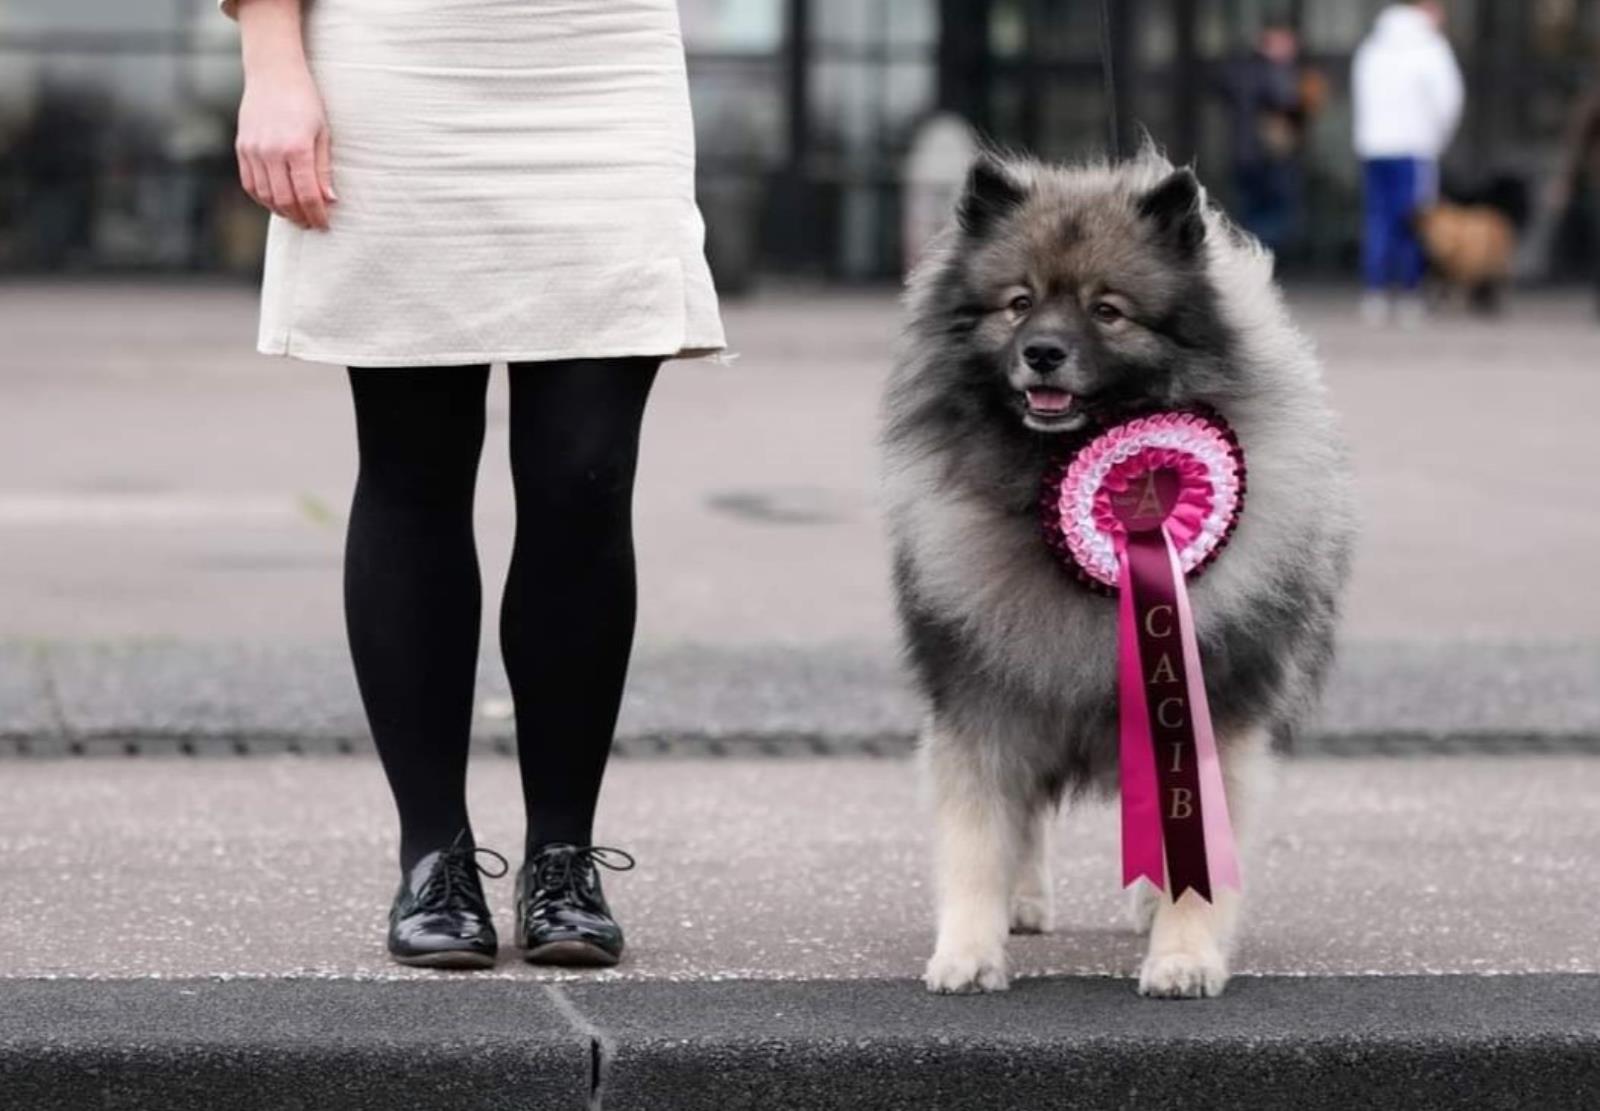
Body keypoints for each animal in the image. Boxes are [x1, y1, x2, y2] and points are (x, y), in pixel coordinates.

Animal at [883, 148, 1356, 998]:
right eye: (1019, 303)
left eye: (1108, 311)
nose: (1042, 351)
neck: (1049, 478)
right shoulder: (983, 694)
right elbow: (978, 837)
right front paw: (968, 951)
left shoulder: (1207, 705)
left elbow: (1197, 848)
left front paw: (1183, 954)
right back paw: (1024, 904)